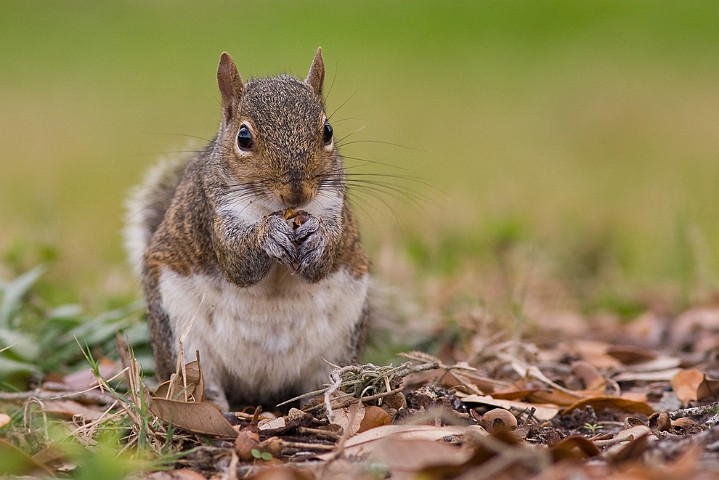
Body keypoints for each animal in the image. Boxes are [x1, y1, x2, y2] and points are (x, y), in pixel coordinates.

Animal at [124, 47, 368, 408]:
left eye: (328, 131)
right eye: (244, 137)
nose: (297, 192)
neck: (275, 209)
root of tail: (259, 388)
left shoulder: (333, 206)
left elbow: (325, 257)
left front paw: (318, 238)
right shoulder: (212, 210)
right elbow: (238, 263)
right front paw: (269, 235)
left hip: (339, 344)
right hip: (183, 337)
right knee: (199, 380)